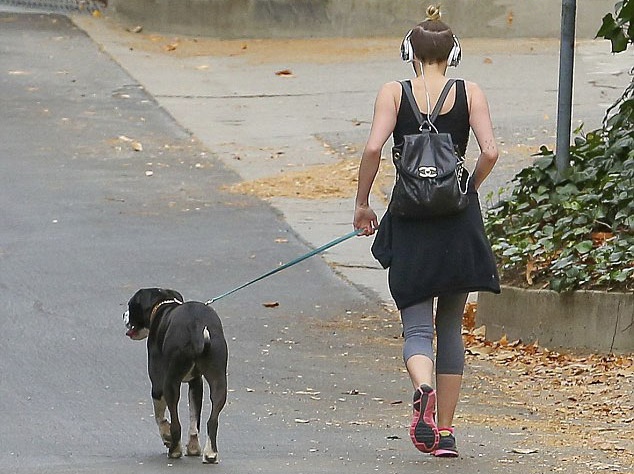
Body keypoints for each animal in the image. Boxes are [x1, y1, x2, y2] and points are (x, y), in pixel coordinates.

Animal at [123, 288, 228, 463]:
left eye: (130, 305)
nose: (123, 314)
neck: (162, 305)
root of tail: (195, 325)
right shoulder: (196, 383)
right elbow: (194, 419)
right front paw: (193, 448)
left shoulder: (158, 384)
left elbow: (160, 417)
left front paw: (166, 436)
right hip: (219, 380)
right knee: (212, 421)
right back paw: (210, 453)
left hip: (170, 383)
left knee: (176, 423)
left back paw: (174, 450)